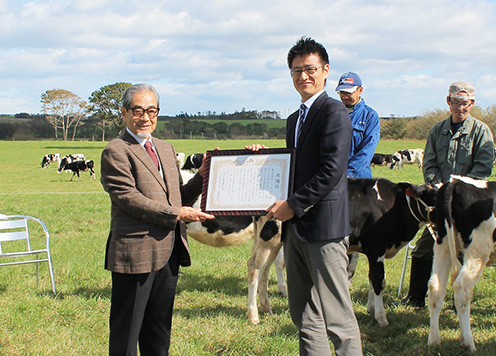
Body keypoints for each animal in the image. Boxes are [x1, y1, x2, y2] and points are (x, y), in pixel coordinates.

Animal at [426, 177, 496, 354]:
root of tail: (456, 182)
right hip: (477, 251)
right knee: (462, 288)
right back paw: (468, 343)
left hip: (442, 244)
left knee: (435, 287)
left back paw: (434, 340)